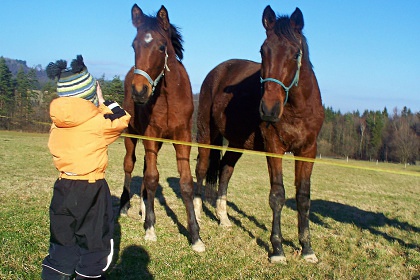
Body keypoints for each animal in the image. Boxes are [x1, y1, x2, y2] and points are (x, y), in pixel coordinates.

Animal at [120, 3, 205, 254]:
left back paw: (142, 208)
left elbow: (185, 183)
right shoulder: (150, 134)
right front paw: (150, 228)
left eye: (161, 46)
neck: (167, 97)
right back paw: (126, 207)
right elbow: (151, 178)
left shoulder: (182, 137)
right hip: (132, 136)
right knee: (130, 165)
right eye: (134, 45)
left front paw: (196, 236)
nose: (139, 91)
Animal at [194, 4, 324, 262]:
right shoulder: (274, 147)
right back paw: (197, 218)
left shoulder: (308, 150)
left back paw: (224, 219)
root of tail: (216, 71)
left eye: (296, 53)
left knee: (225, 171)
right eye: (263, 51)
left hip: (236, 143)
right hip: (206, 136)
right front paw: (278, 250)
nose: (269, 109)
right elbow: (277, 195)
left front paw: (307, 249)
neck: (298, 108)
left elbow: (303, 197)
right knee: (201, 169)